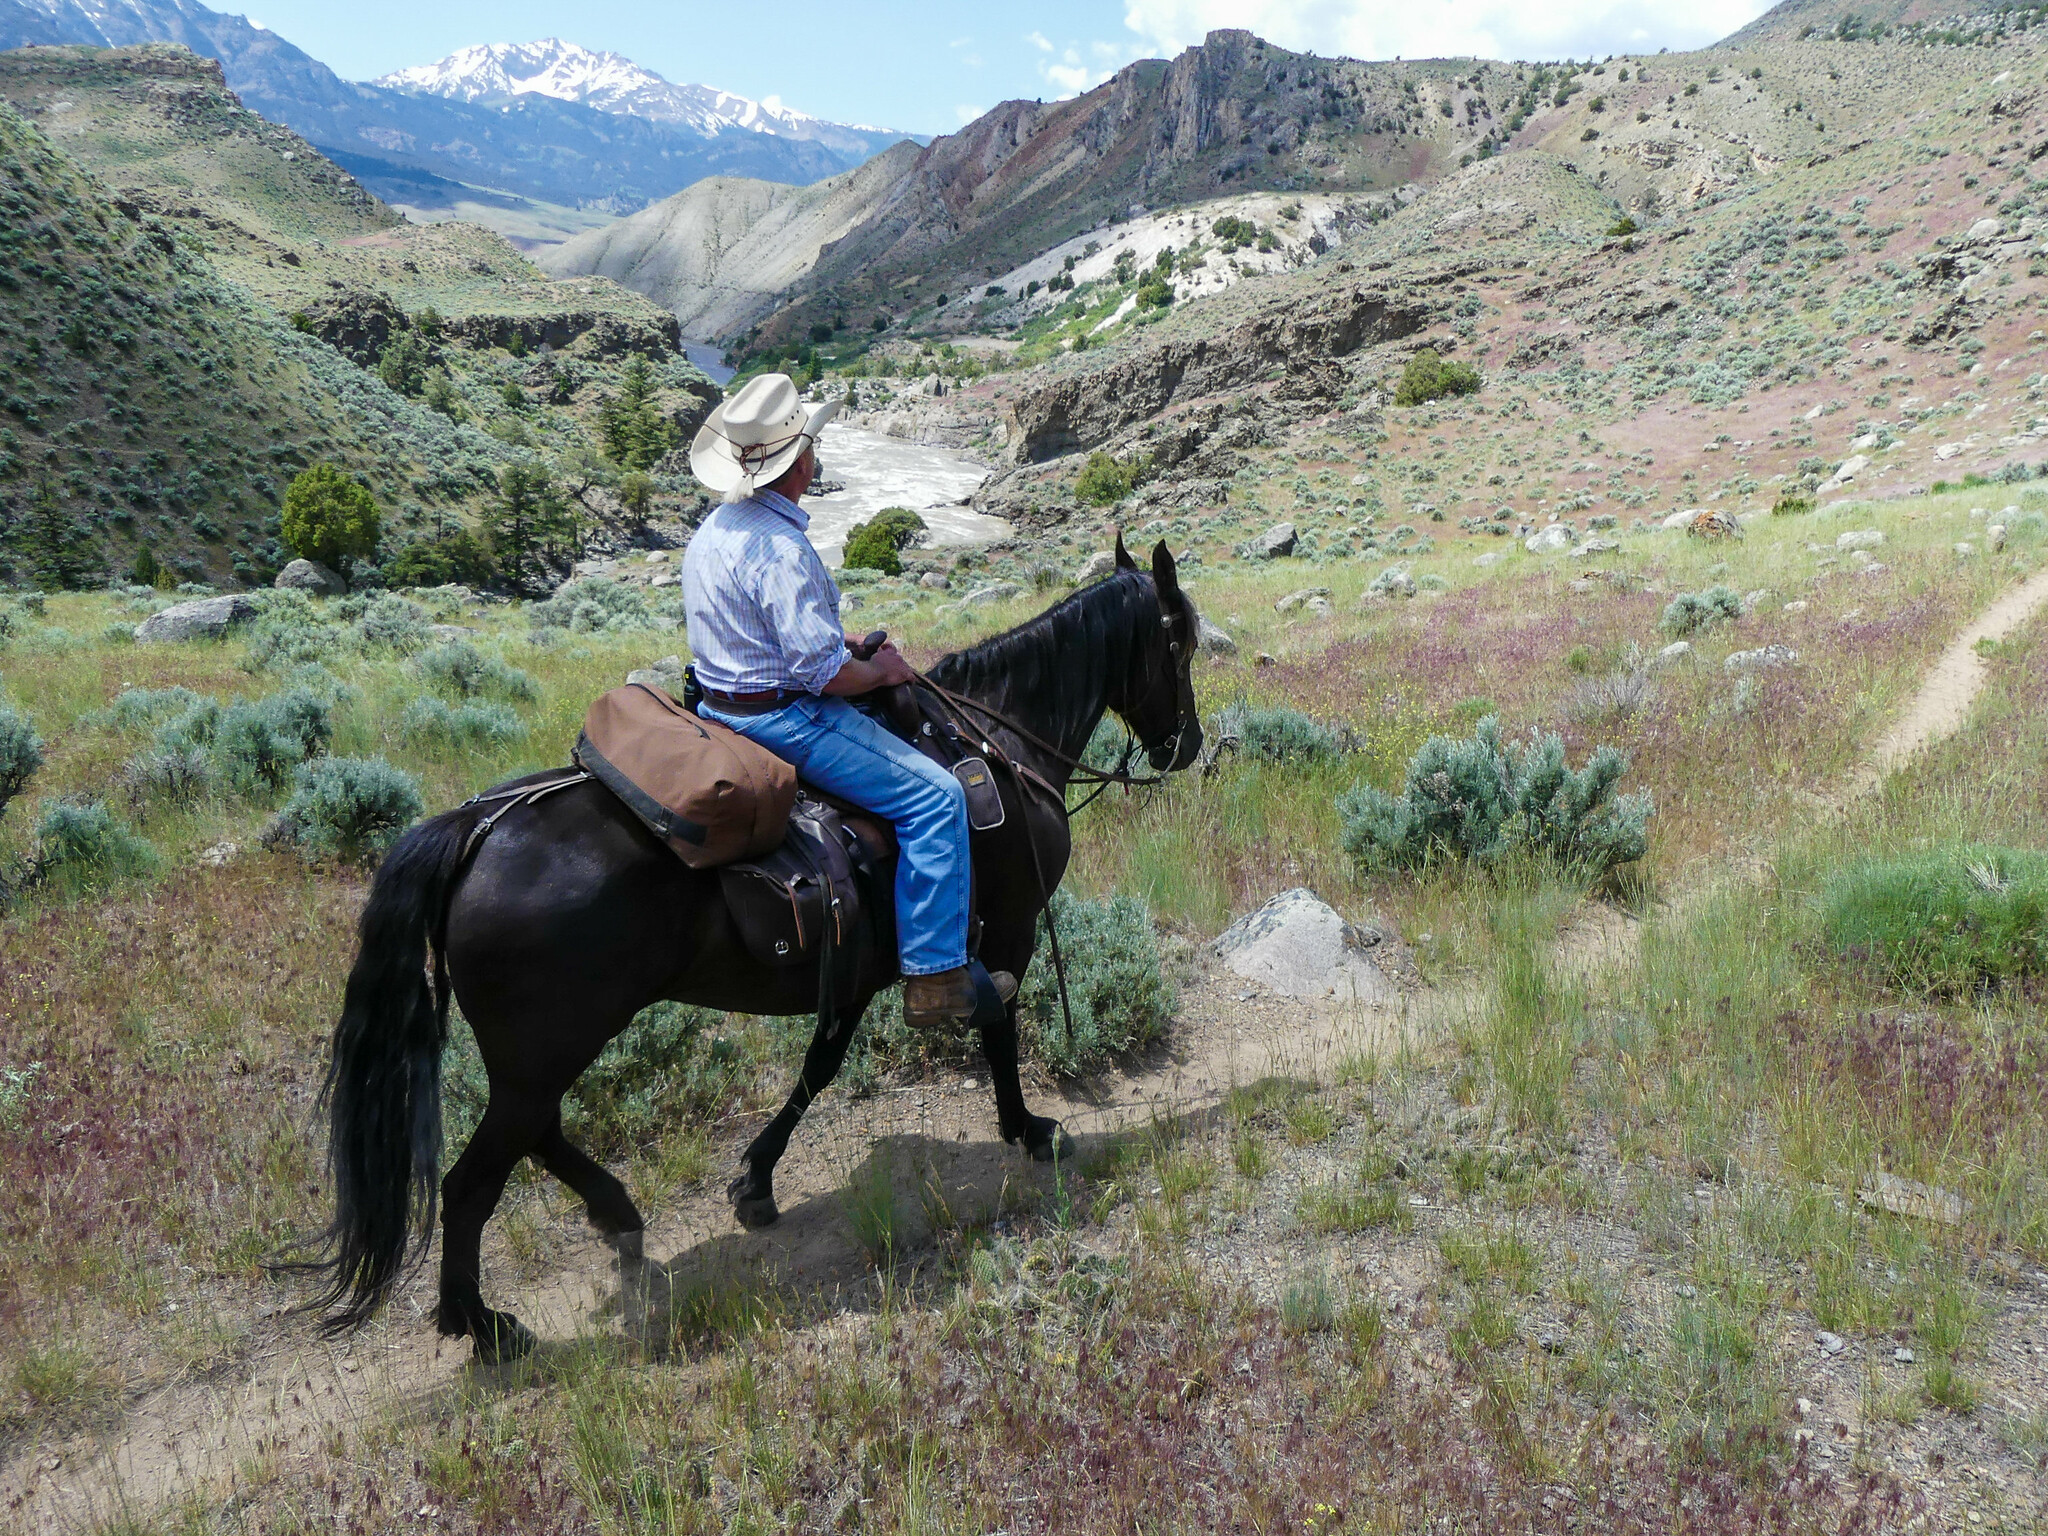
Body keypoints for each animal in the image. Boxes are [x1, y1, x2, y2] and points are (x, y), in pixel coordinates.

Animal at [301, 536, 1196, 1359]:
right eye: (1180, 640)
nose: (1184, 746)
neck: (993, 745)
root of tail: (478, 830)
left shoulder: (854, 972)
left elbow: (820, 1067)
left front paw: (756, 1182)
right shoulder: (1006, 930)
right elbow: (998, 1029)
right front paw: (1028, 1128)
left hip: (537, 1053)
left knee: (537, 1134)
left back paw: (615, 1221)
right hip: (548, 1047)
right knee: (473, 1180)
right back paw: (481, 1324)